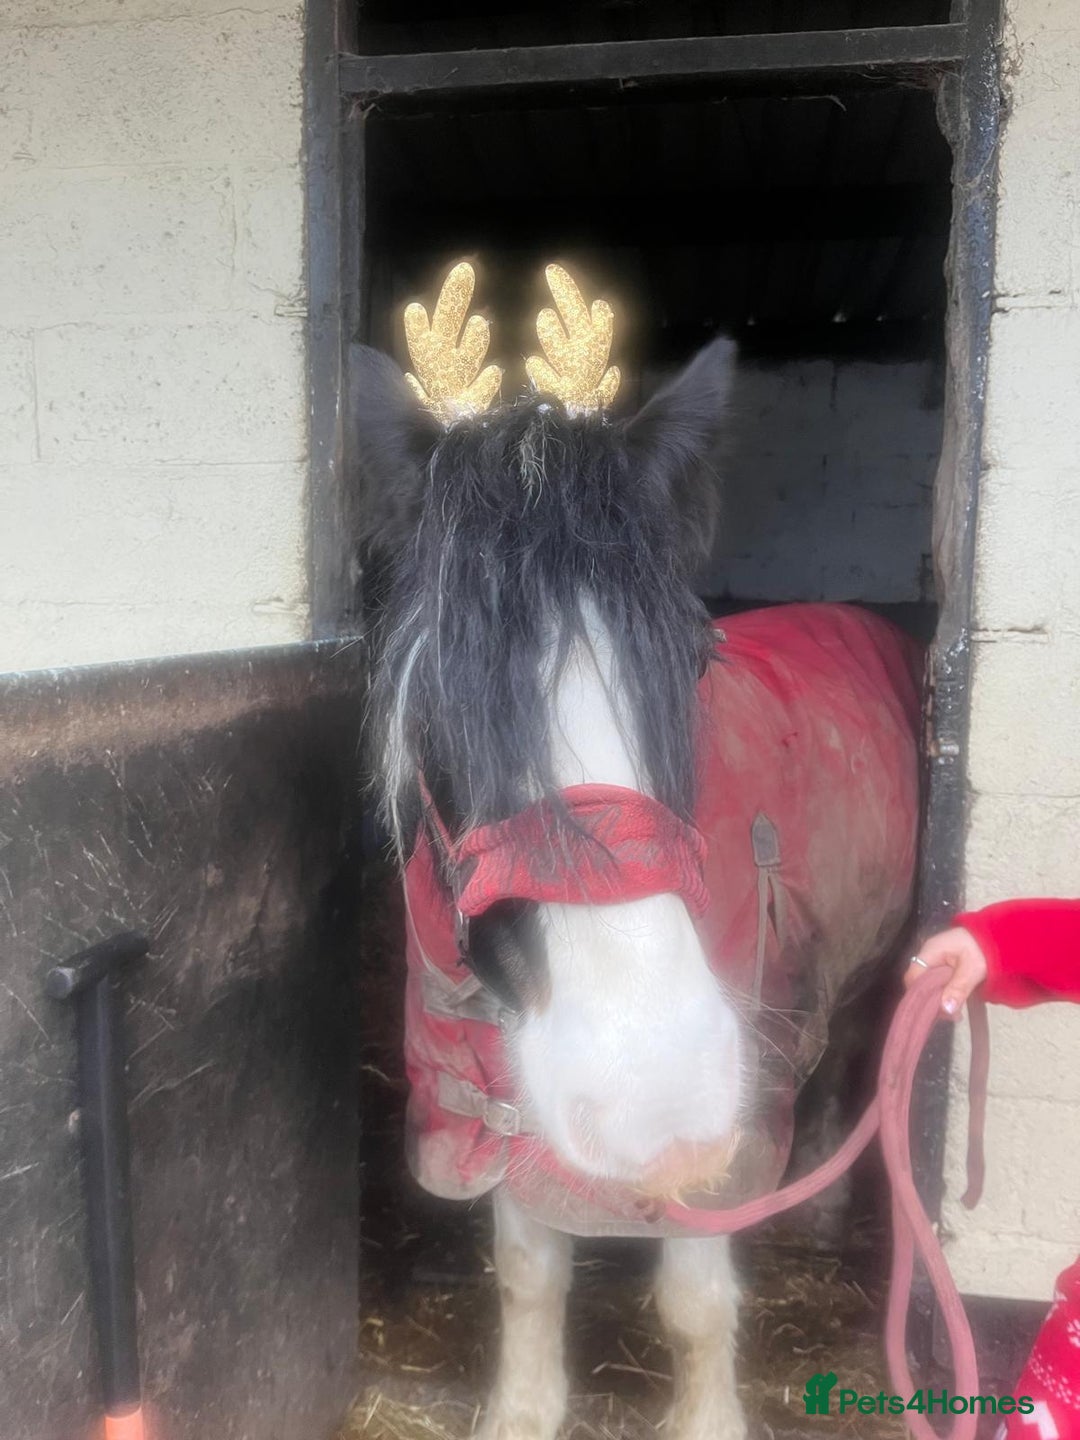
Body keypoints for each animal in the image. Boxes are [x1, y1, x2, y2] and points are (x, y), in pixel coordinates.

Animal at [350, 264, 922, 1440]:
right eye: (433, 700)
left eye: (694, 658)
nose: (652, 1093)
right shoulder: (494, 1093)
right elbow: (529, 1271)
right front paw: (521, 1411)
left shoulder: (731, 1130)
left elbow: (695, 1298)